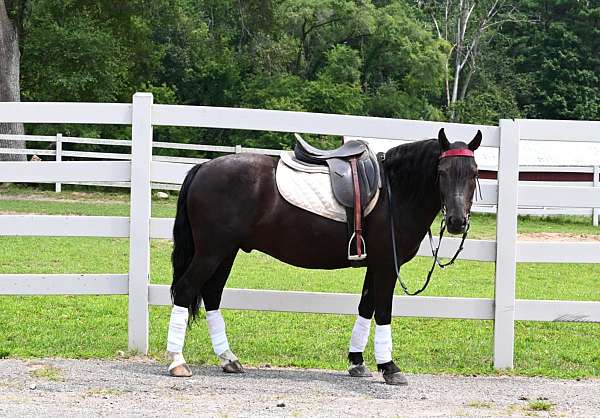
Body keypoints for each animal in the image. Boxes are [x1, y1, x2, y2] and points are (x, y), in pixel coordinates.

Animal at [165, 128, 482, 386]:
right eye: (442, 172)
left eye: (474, 173)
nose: (457, 222)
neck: (394, 192)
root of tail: (204, 167)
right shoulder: (386, 266)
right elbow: (383, 311)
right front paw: (389, 367)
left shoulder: (374, 265)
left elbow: (365, 307)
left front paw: (357, 363)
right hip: (211, 251)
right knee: (185, 290)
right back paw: (178, 362)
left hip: (225, 252)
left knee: (212, 295)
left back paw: (228, 358)